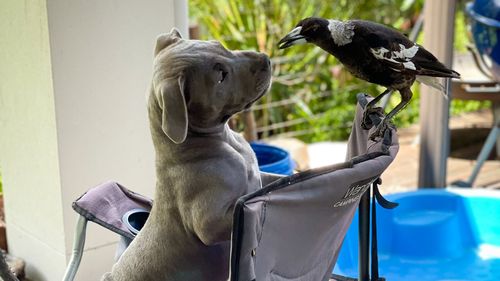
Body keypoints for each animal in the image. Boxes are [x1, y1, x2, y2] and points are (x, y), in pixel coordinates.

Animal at [101, 29, 278, 280]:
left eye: (220, 45)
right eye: (221, 75)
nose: (266, 59)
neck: (224, 140)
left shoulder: (260, 173)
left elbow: (274, 179)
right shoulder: (209, 224)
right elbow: (240, 207)